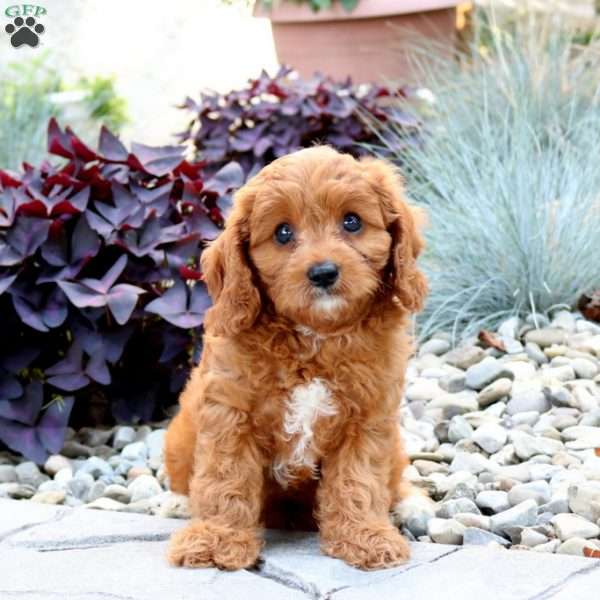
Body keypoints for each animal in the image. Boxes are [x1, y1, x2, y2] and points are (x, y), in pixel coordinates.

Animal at [164, 145, 426, 572]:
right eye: (283, 232)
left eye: (352, 222)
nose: (323, 273)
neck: (315, 338)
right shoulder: (229, 413)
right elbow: (225, 476)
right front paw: (217, 539)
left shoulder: (368, 419)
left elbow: (359, 479)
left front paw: (364, 536)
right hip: (178, 435)